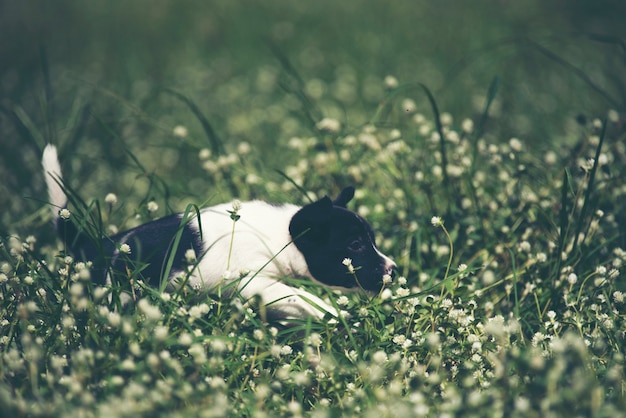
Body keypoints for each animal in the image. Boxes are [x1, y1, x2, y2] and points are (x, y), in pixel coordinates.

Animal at [42, 145, 394, 320]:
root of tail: (96, 245)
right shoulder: (256, 281)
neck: (281, 236)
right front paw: (335, 315)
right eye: (356, 244)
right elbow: (303, 297)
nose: (393, 269)